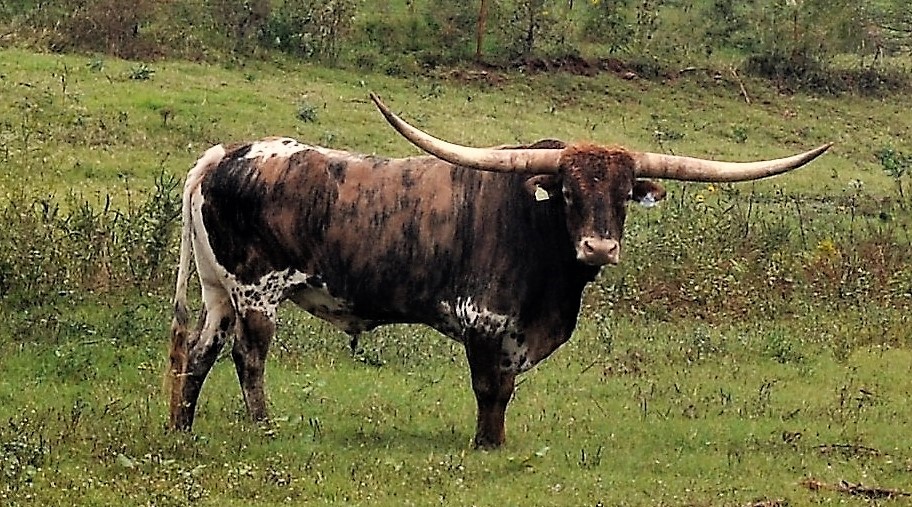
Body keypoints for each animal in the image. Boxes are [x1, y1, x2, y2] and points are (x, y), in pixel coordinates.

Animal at [168, 92, 831, 448]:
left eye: (622, 196)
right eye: (568, 193)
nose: (598, 247)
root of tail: (225, 153)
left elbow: (505, 389)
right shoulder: (486, 321)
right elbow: (492, 389)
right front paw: (488, 445)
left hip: (218, 290)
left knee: (198, 351)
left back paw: (182, 427)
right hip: (255, 292)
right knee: (248, 357)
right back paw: (263, 427)